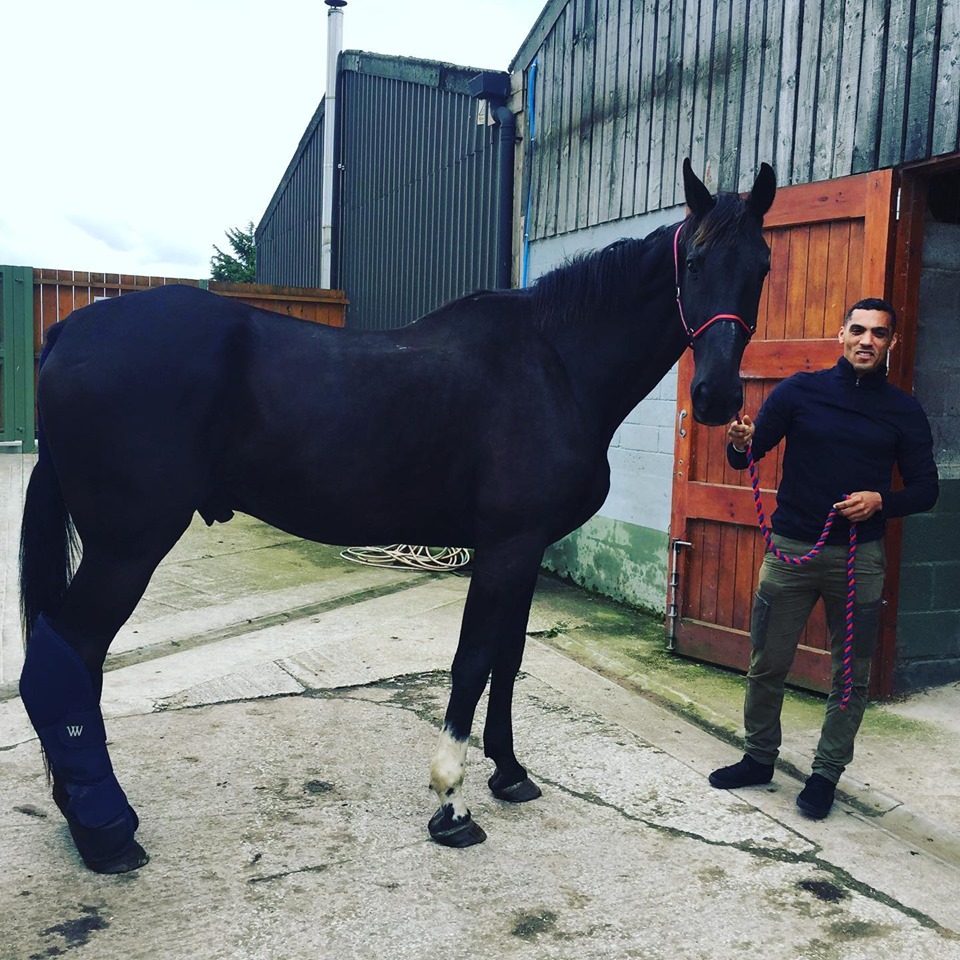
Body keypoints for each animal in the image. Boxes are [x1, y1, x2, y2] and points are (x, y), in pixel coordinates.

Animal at [18, 161, 776, 872]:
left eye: (762, 267)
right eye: (695, 262)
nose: (716, 397)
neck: (553, 364)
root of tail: (69, 330)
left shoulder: (526, 549)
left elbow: (509, 658)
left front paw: (509, 773)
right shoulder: (505, 547)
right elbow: (473, 662)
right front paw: (451, 803)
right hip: (127, 546)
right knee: (64, 654)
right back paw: (107, 834)